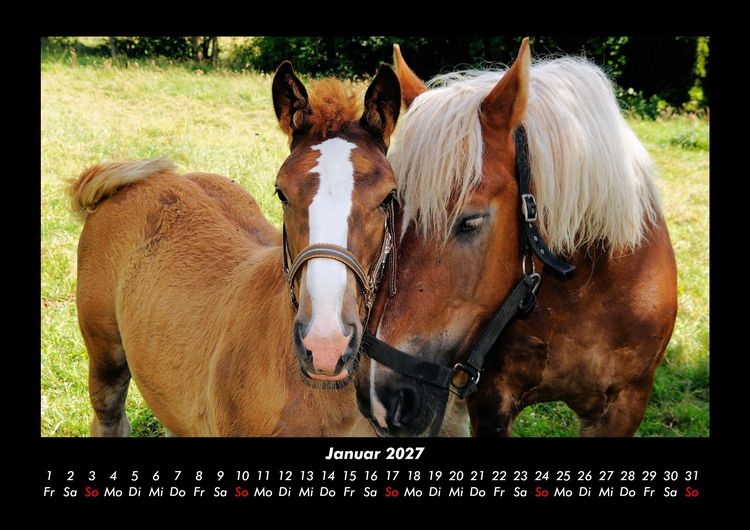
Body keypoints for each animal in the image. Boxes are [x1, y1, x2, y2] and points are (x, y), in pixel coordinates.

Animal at [357, 39, 678, 437]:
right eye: (389, 209)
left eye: (470, 221)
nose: (378, 396)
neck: (583, 287)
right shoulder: (490, 400)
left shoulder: (624, 406)